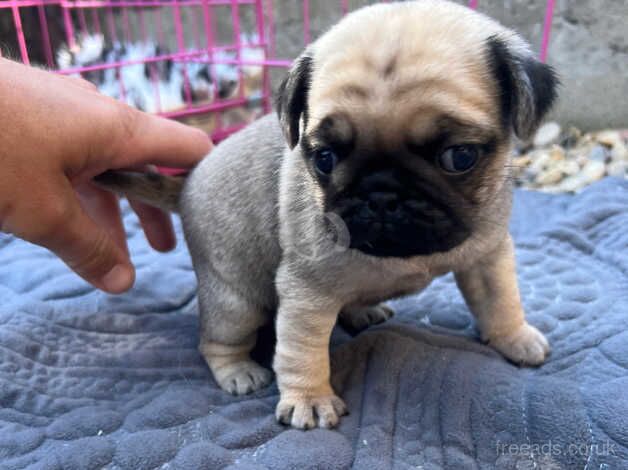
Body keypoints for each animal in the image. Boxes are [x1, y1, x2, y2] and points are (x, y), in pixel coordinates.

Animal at [95, 0, 556, 430]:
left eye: (459, 157)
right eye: (324, 158)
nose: (381, 195)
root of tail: (188, 181)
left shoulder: (487, 256)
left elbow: (500, 300)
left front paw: (514, 337)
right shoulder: (306, 292)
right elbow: (302, 351)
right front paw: (309, 400)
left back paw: (363, 311)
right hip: (235, 299)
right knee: (217, 339)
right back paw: (238, 371)